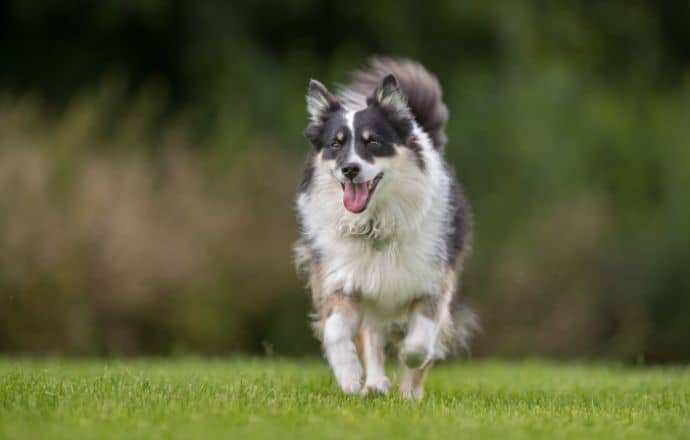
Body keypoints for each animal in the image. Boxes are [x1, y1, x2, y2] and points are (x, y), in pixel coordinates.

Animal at [292, 56, 476, 400]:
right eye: (335, 144)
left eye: (372, 141)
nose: (350, 169)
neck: (375, 224)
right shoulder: (343, 277)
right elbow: (336, 330)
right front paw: (350, 377)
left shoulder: (432, 280)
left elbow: (420, 343)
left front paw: (409, 362)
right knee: (372, 335)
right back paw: (375, 385)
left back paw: (408, 394)